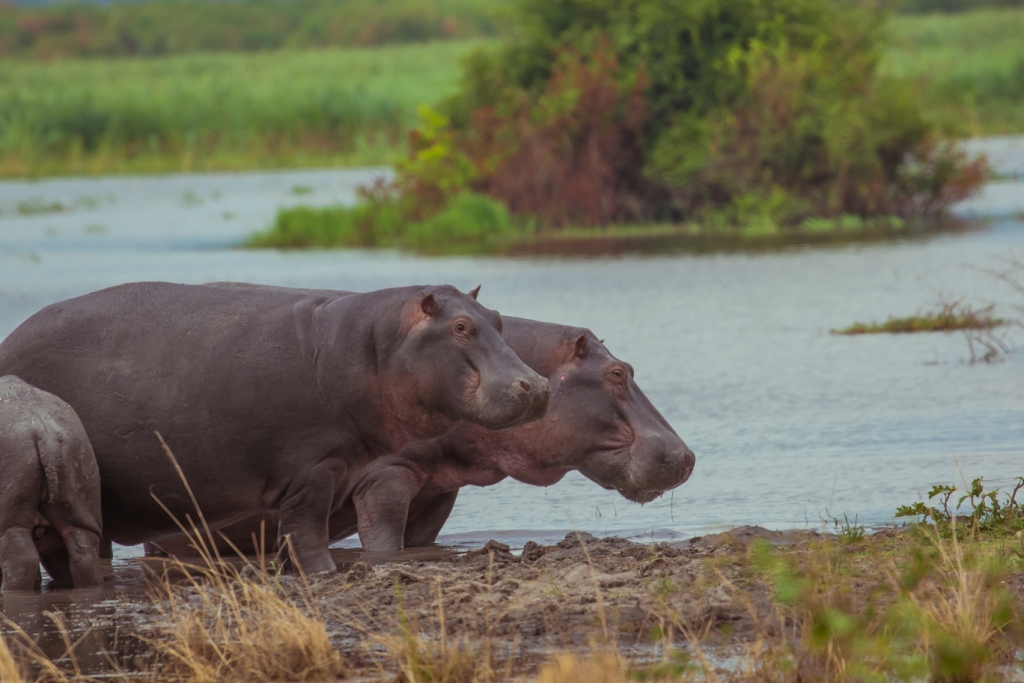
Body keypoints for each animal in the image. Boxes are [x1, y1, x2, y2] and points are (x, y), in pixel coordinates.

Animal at [146, 290, 696, 557]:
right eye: (617, 373)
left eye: (629, 367)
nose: (687, 455)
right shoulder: (384, 478)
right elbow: (383, 542)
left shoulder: (438, 488)